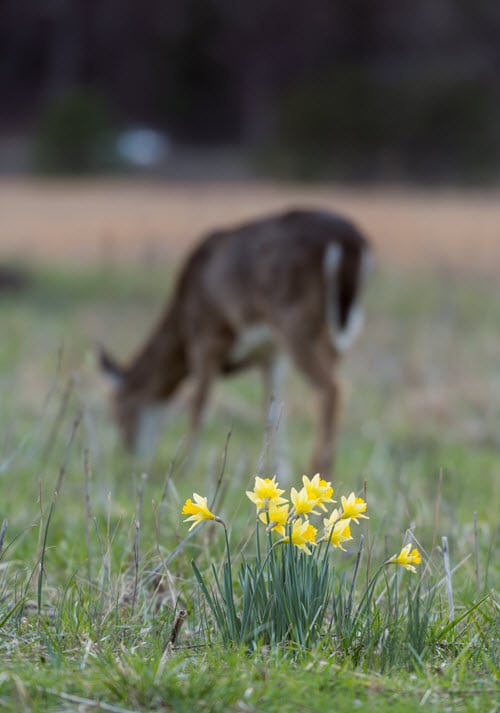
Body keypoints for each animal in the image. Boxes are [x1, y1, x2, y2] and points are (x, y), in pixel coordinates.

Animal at [98, 209, 372, 476]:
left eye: (118, 409)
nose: (129, 451)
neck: (182, 325)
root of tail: (350, 242)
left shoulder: (207, 337)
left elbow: (198, 405)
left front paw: (185, 467)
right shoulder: (271, 353)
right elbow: (272, 411)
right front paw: (277, 472)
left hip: (293, 319)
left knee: (330, 388)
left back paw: (320, 468)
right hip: (337, 328)